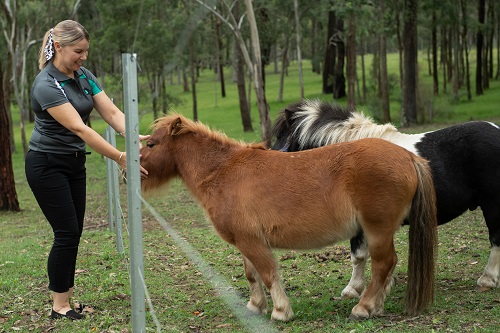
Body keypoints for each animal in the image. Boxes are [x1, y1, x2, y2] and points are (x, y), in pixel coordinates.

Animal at [140, 113, 438, 320]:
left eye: (152, 144)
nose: (134, 170)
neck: (223, 171)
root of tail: (408, 157)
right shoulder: (245, 242)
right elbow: (252, 275)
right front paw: (255, 307)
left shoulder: (253, 242)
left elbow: (268, 274)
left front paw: (281, 311)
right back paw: (375, 307)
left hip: (377, 231)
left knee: (383, 265)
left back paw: (363, 308)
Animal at [272, 98, 500, 298]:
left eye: (282, 137)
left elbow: (359, 255)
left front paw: (354, 289)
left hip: (492, 204)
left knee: (496, 240)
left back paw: (487, 279)